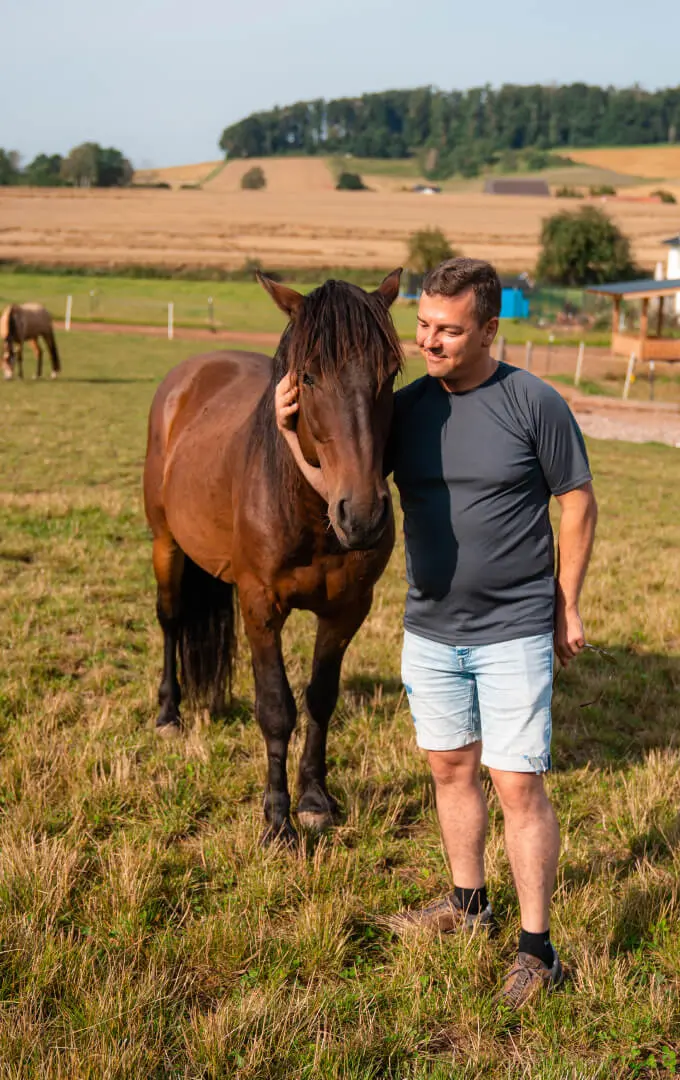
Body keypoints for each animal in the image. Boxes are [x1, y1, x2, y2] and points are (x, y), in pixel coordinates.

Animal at [143, 269, 403, 844]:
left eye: (391, 373)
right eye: (307, 377)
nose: (363, 515)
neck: (307, 511)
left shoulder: (347, 610)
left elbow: (320, 698)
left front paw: (314, 799)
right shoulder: (261, 607)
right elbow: (276, 708)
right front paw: (278, 819)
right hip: (165, 543)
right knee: (171, 619)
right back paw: (170, 714)